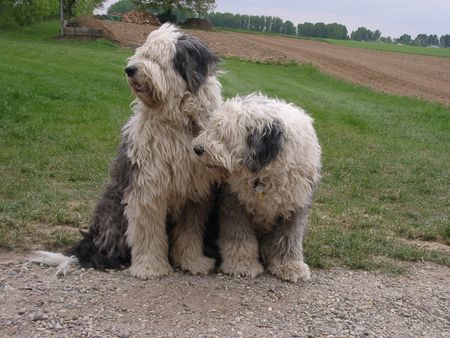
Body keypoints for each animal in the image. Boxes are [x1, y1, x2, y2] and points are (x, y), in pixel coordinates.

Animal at [29, 24, 222, 280]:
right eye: (142, 53)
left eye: (156, 58)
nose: (130, 69)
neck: (178, 122)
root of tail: (93, 237)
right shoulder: (148, 185)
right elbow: (148, 232)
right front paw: (150, 268)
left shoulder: (194, 192)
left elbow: (190, 233)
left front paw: (194, 262)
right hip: (115, 213)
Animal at [192, 93, 322, 282]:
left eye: (224, 134)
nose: (197, 148)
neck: (263, 176)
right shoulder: (235, 203)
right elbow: (240, 237)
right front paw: (242, 264)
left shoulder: (295, 206)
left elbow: (289, 239)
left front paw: (290, 267)